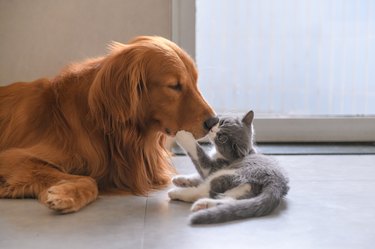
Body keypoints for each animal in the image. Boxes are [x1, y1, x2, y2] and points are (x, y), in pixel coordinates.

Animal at [0, 36, 219, 213]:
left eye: (195, 82)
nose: (214, 122)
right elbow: (90, 180)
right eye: (174, 86)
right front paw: (65, 196)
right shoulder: (13, 157)